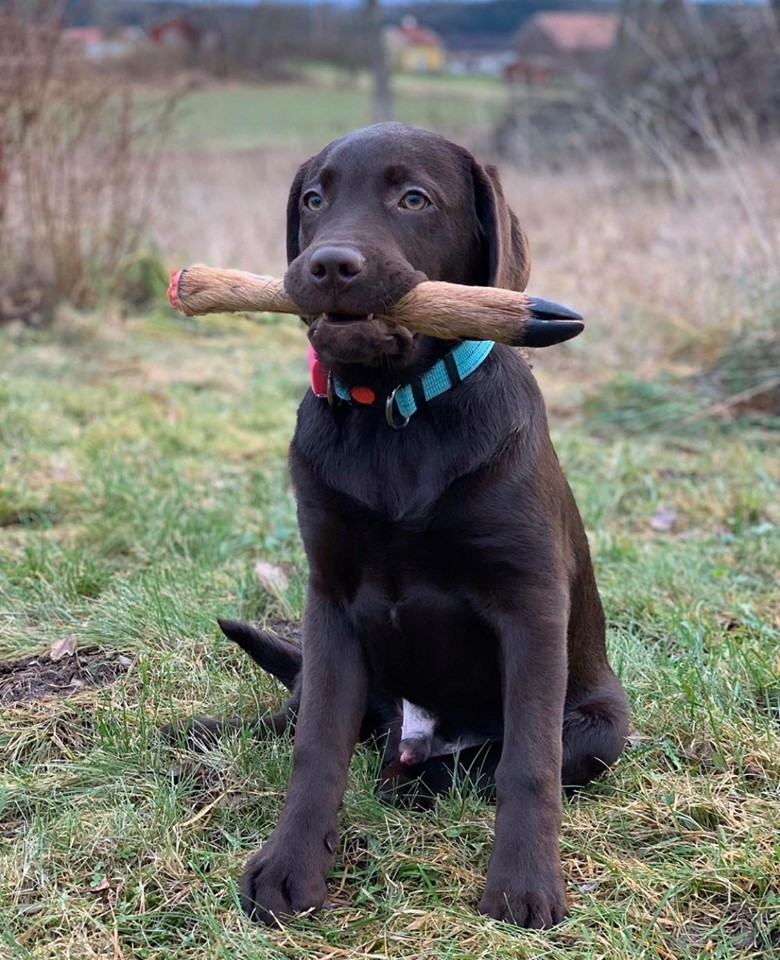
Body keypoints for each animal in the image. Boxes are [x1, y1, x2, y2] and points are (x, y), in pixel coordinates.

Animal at [169, 123, 630, 929]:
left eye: (413, 199)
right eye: (314, 200)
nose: (328, 264)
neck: (396, 410)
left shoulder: (531, 600)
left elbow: (529, 761)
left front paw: (524, 884)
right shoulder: (329, 596)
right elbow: (317, 744)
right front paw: (289, 868)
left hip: (605, 724)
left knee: (478, 761)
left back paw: (412, 781)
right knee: (307, 713)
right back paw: (212, 733)